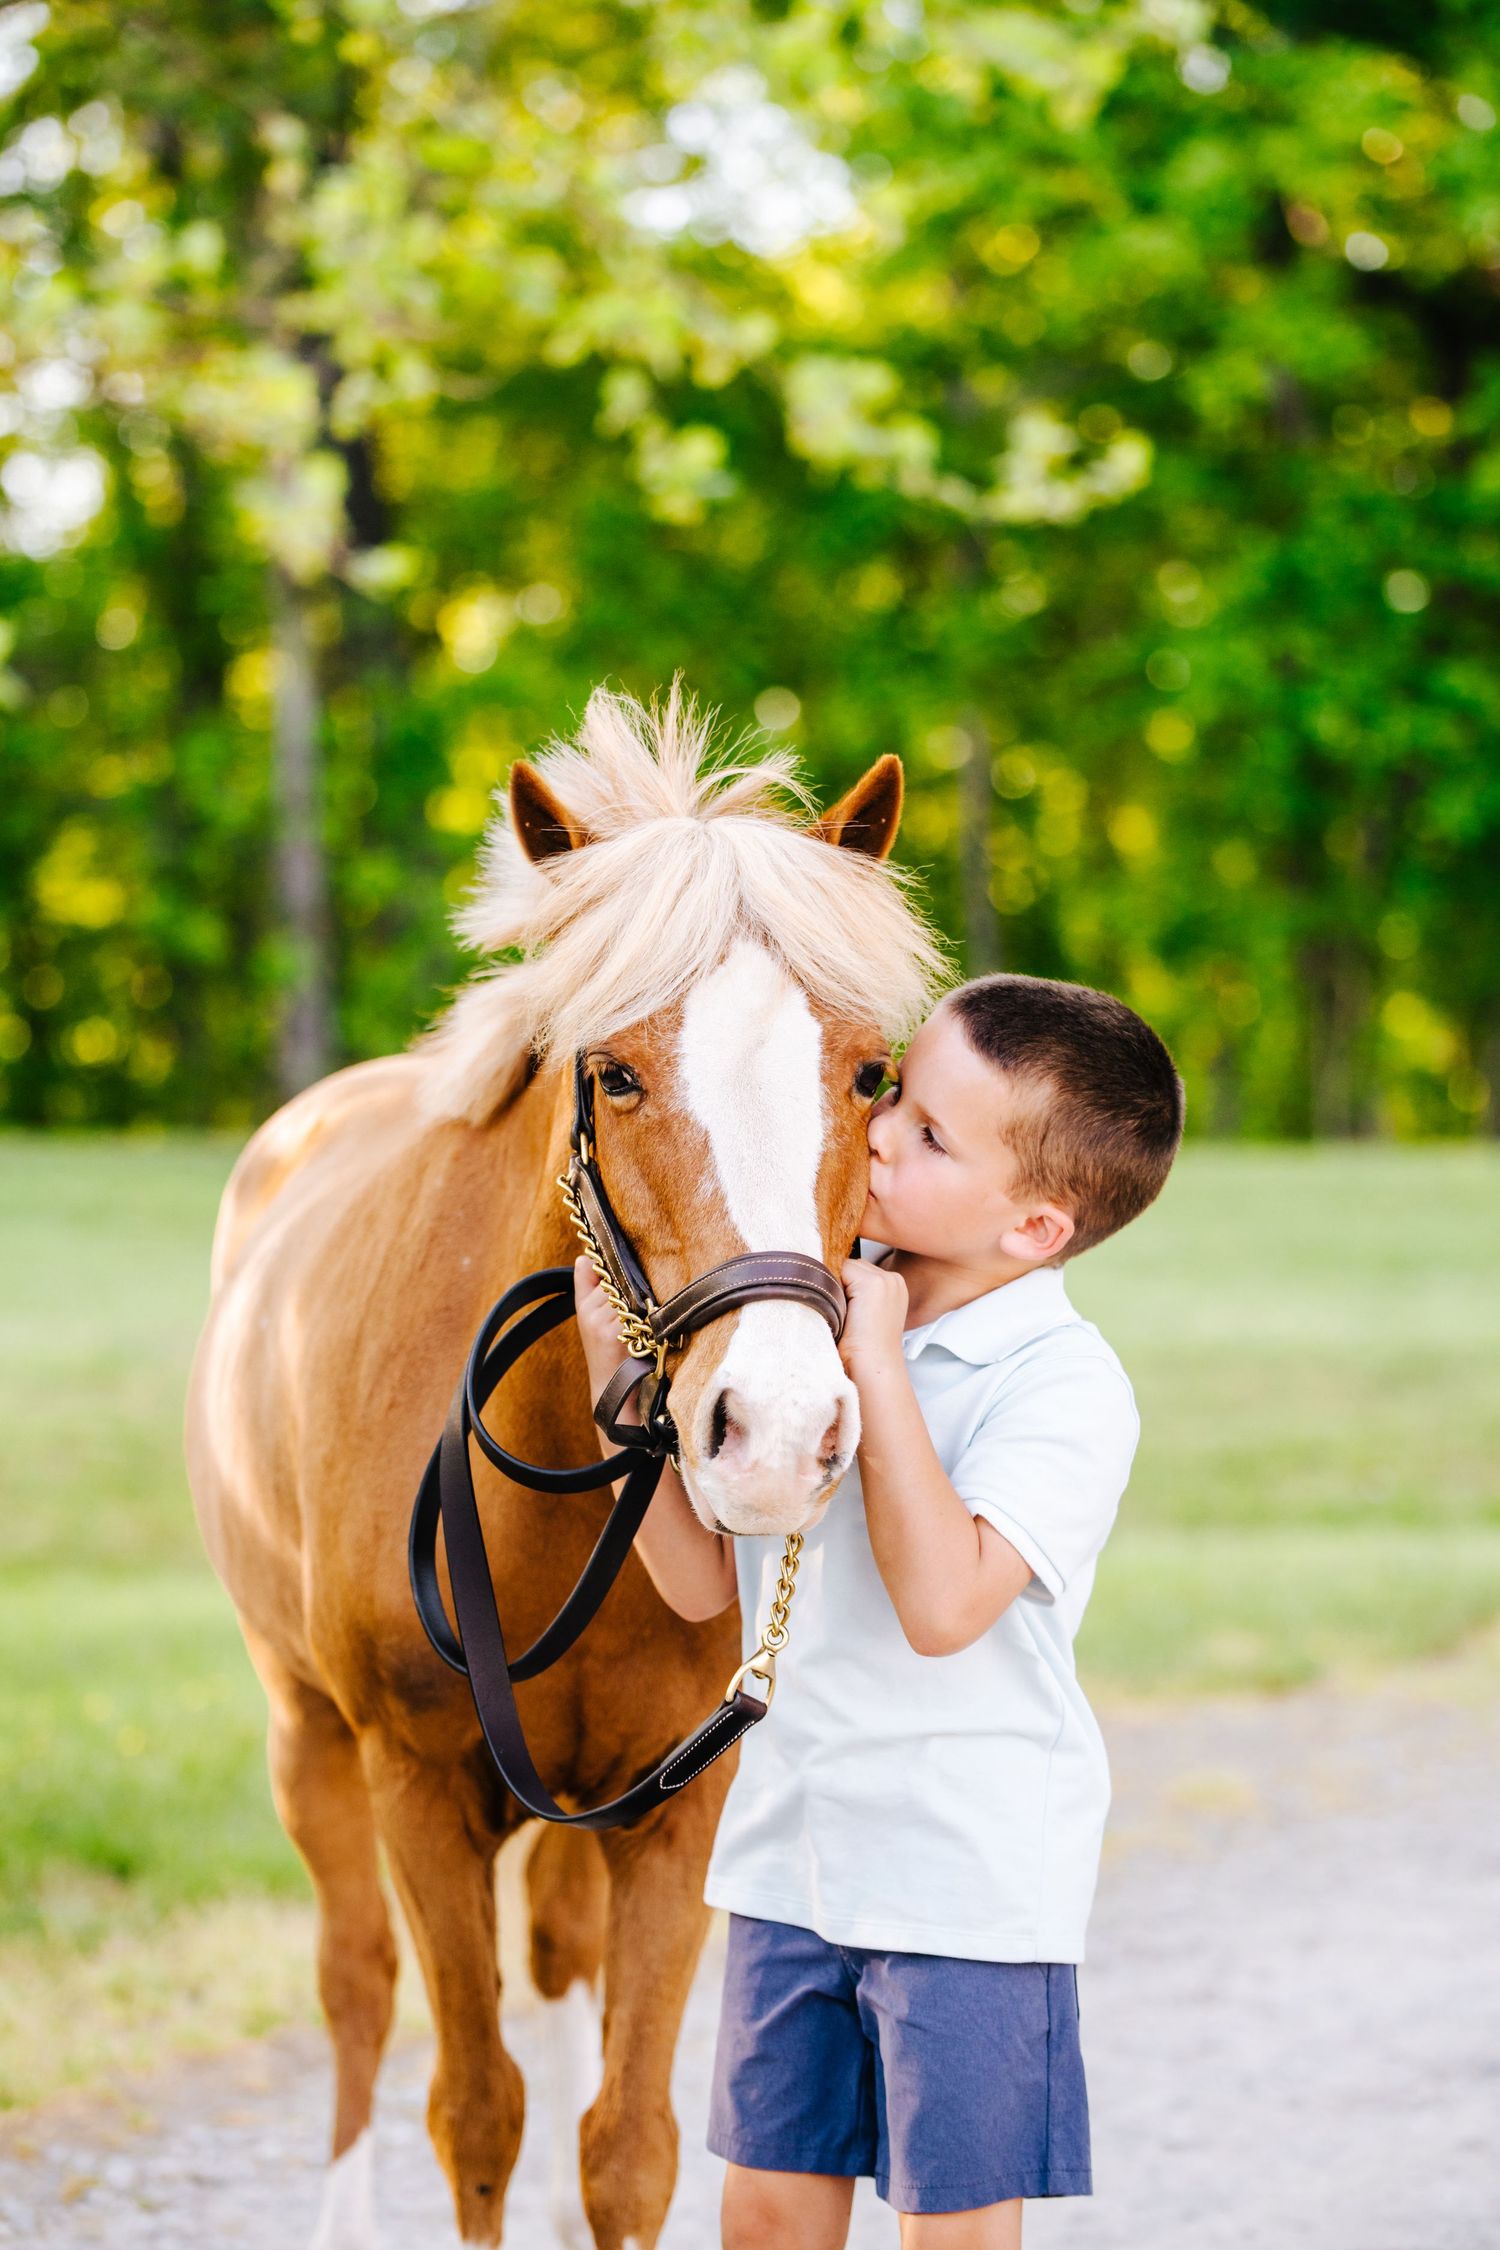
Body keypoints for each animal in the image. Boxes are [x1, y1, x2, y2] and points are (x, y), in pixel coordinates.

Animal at [185, 683, 948, 2248]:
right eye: (614, 1071)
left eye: (872, 1074)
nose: (774, 1431)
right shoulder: (421, 1786)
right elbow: (474, 2112)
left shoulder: (671, 1805)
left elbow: (628, 2142)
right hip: (306, 1733)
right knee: (357, 1987)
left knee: (550, 1962)